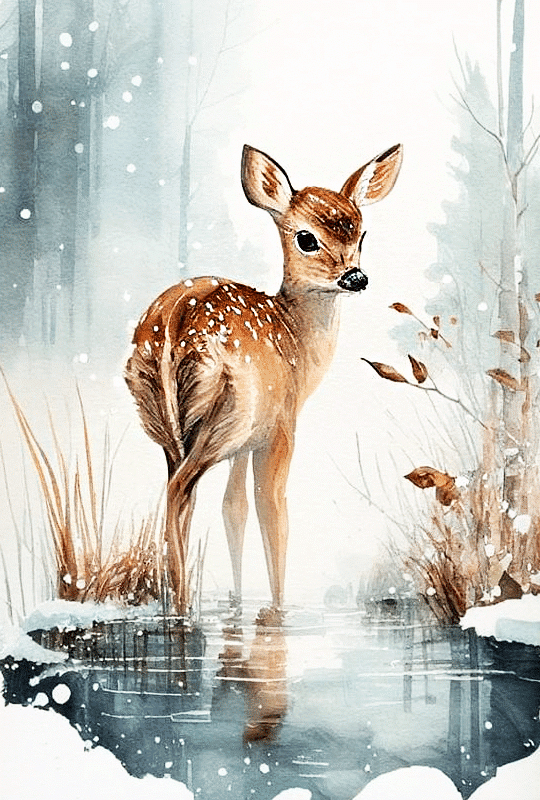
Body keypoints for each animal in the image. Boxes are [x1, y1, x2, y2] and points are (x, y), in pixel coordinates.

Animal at [125, 142, 403, 615]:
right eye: (306, 237)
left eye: (362, 235)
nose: (356, 277)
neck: (298, 346)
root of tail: (174, 323)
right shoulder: (279, 426)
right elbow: (272, 508)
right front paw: (277, 609)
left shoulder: (246, 444)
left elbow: (233, 508)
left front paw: (239, 601)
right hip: (227, 412)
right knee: (181, 493)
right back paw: (181, 607)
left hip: (165, 422)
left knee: (182, 496)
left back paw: (178, 599)